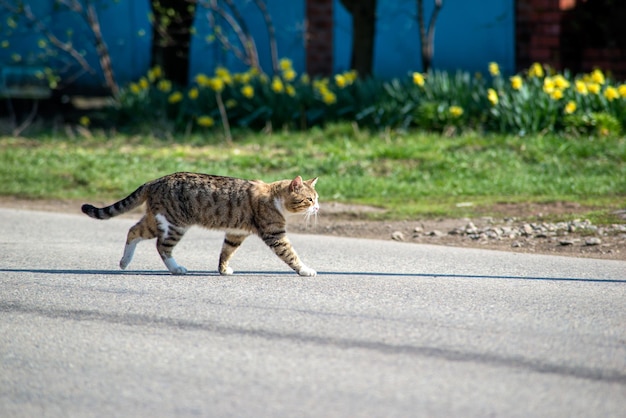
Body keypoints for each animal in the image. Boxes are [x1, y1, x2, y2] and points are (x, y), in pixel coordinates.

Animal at [81, 171, 320, 276]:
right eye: (310, 199)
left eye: (317, 199)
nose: (317, 208)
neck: (273, 196)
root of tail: (154, 180)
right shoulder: (274, 234)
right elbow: (290, 254)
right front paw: (305, 270)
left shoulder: (236, 233)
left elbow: (226, 251)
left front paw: (223, 269)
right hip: (175, 223)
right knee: (161, 246)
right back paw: (176, 268)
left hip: (156, 218)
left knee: (133, 231)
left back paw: (124, 262)